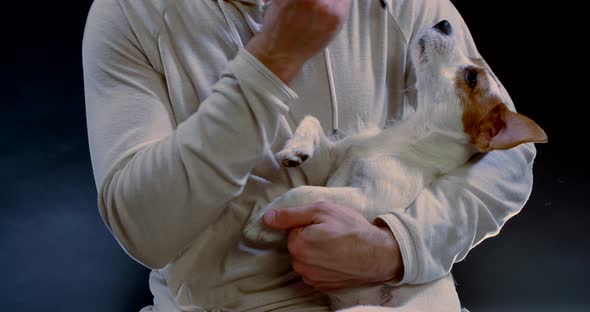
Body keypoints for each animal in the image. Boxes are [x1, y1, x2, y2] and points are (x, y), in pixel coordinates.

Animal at [243, 20, 548, 310]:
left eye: (471, 77)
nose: (445, 23)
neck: (398, 140)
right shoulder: (333, 164)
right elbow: (312, 123)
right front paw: (297, 148)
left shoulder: (368, 200)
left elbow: (305, 192)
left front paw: (264, 220)